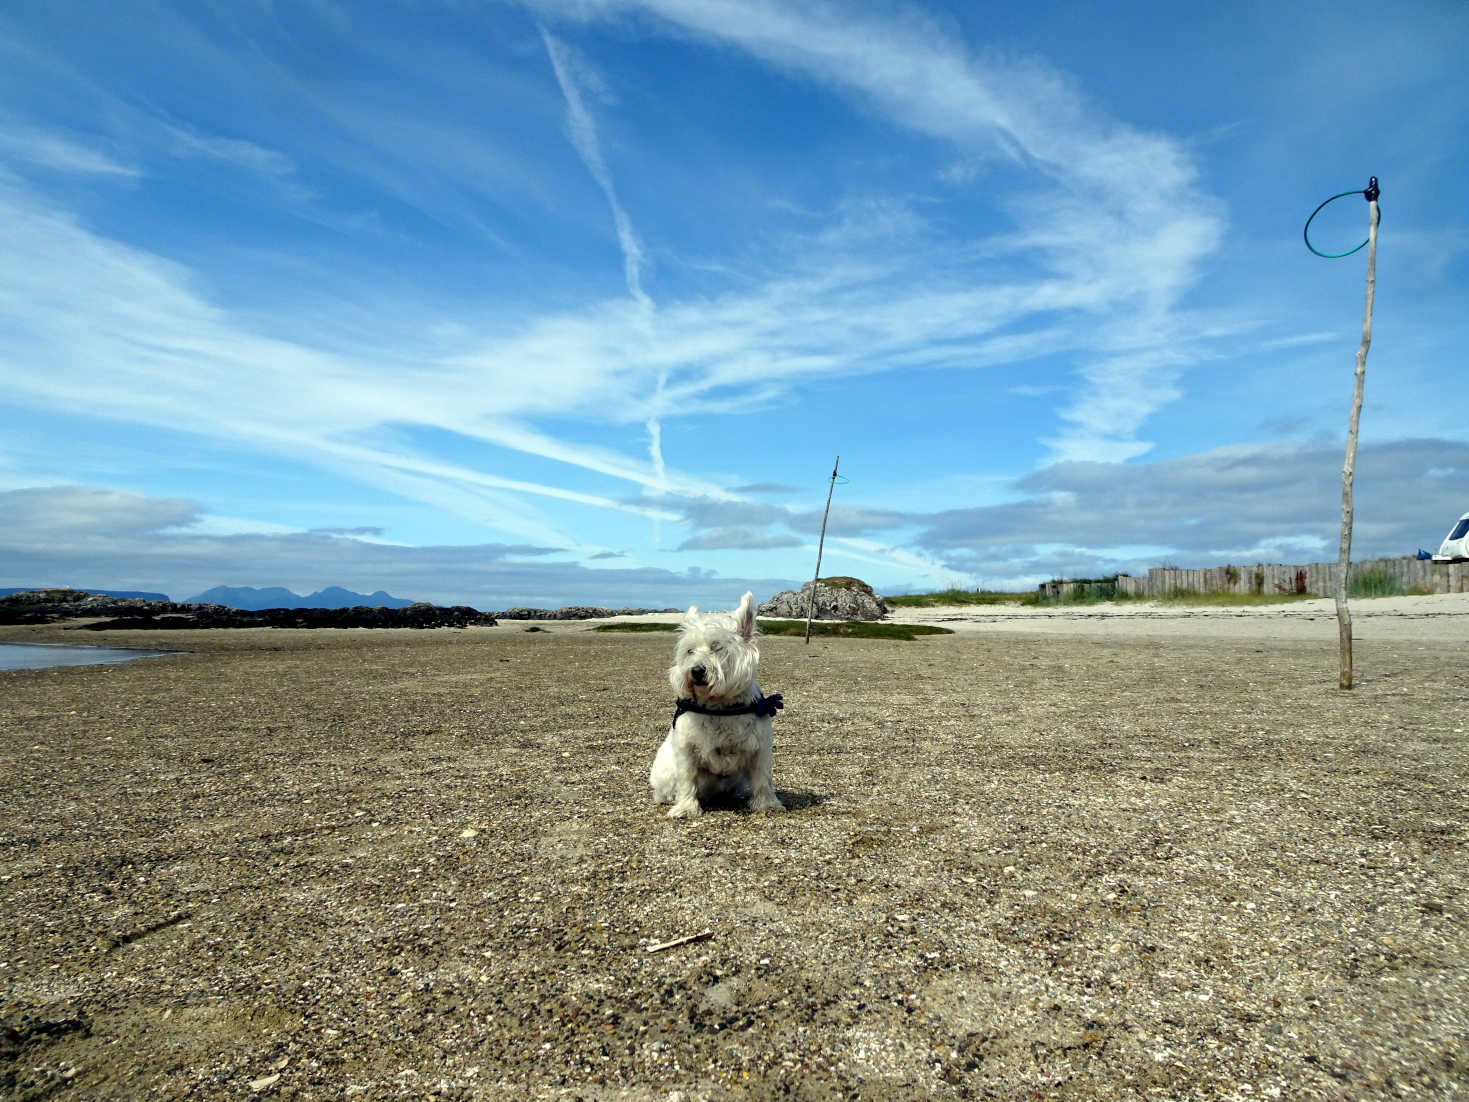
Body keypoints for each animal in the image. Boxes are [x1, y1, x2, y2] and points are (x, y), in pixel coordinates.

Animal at [652, 596, 787, 822]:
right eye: (690, 651)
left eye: (717, 647)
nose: (696, 671)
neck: (719, 705)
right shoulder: (687, 749)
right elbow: (687, 779)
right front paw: (686, 808)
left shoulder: (759, 748)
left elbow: (762, 779)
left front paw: (768, 805)